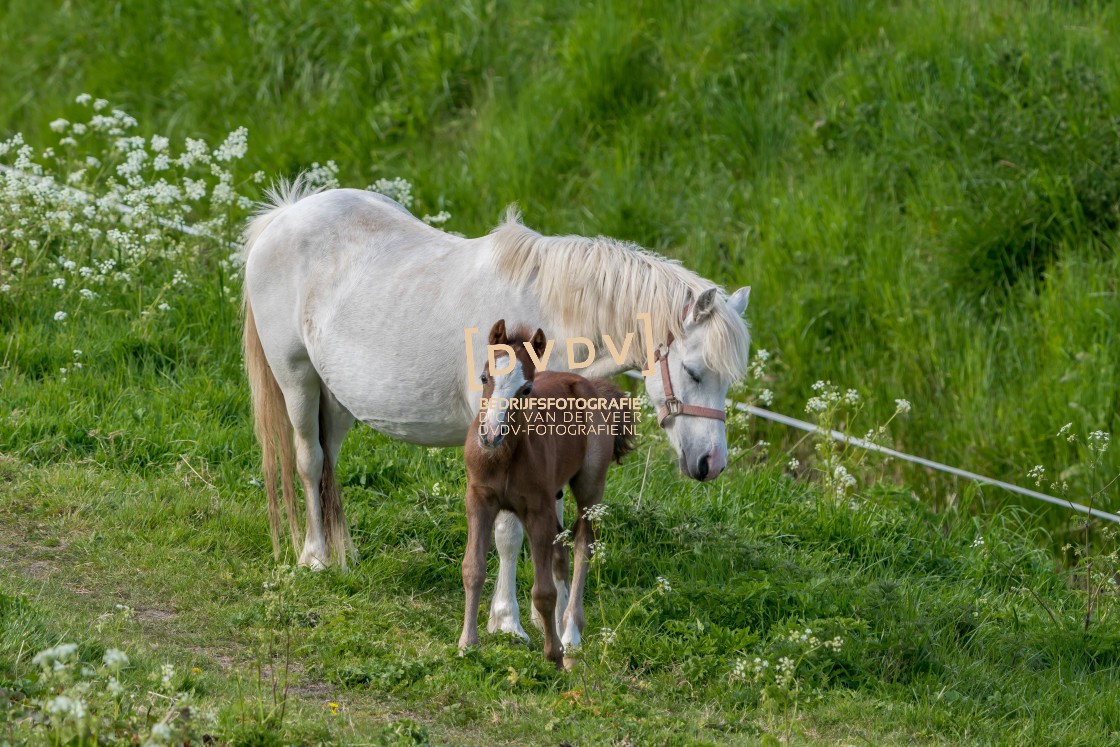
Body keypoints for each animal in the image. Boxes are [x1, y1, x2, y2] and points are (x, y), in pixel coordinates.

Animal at [459, 318, 636, 667]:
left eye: (526, 389)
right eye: (485, 377)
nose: (490, 435)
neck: (504, 458)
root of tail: (587, 383)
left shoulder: (536, 509)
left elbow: (543, 591)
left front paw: (553, 655)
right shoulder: (479, 499)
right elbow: (473, 569)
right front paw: (466, 645)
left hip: (589, 488)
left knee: (582, 545)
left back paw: (570, 636)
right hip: (554, 498)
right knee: (560, 552)